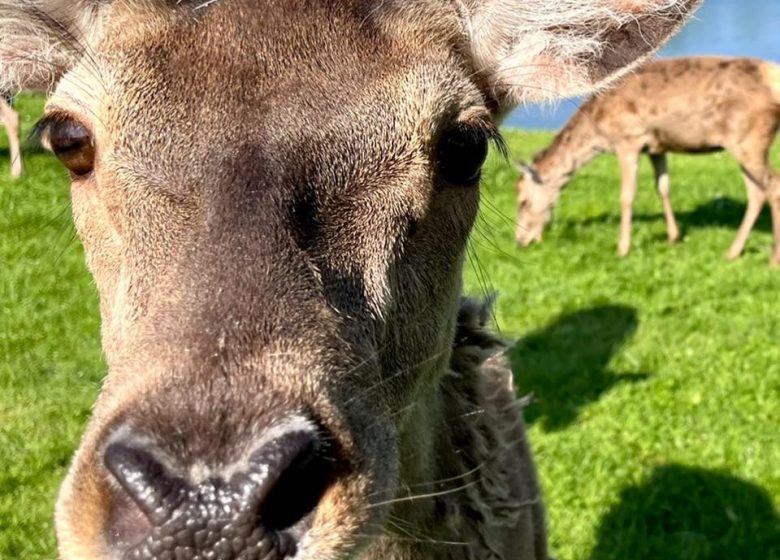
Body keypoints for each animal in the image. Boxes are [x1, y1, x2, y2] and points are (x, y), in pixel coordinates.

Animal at [516, 55, 780, 266]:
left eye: (522, 201)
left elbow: (627, 196)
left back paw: (773, 259)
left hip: (749, 139)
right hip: (745, 144)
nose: (520, 241)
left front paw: (622, 248)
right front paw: (673, 237)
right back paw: (733, 252)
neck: (599, 130)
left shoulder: (628, 139)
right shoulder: (656, 147)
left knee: (773, 186)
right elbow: (663, 187)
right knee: (757, 192)